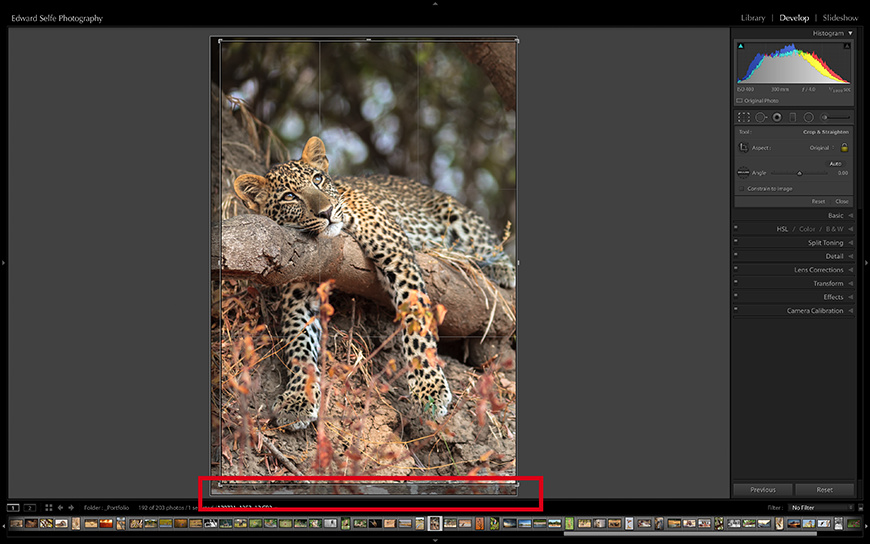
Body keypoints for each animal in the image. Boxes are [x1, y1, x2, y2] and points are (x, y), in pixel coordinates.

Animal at [233, 136, 515, 431]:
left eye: (318, 179)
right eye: (289, 196)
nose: (327, 212)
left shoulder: (397, 253)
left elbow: (416, 324)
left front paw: (429, 389)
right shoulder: (298, 288)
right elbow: (299, 344)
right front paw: (298, 398)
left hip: (458, 217)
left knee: (486, 244)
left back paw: (498, 267)